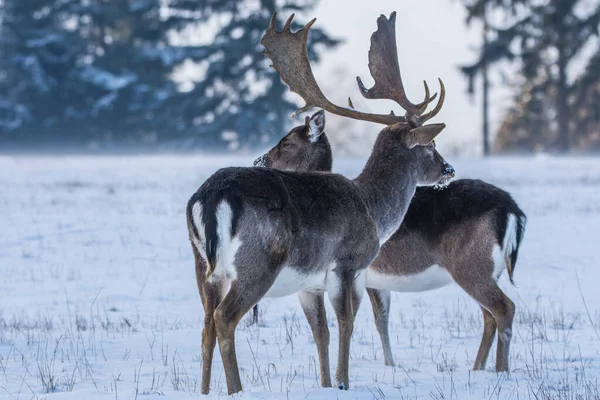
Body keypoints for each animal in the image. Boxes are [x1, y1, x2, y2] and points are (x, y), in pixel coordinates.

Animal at [186, 11, 454, 394]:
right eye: (430, 147)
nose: (449, 169)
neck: (374, 210)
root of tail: (210, 197)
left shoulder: (310, 282)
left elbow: (321, 332)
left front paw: (327, 383)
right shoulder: (348, 263)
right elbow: (347, 323)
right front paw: (343, 382)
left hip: (203, 266)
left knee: (206, 324)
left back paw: (206, 390)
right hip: (258, 260)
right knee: (224, 319)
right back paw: (236, 389)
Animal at [255, 109, 528, 372]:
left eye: (287, 142)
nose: (259, 161)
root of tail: (513, 209)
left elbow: (365, 319)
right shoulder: (374, 280)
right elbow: (381, 319)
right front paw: (391, 364)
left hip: (472, 263)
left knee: (504, 308)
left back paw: (501, 371)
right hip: (485, 270)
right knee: (489, 315)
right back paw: (478, 368)